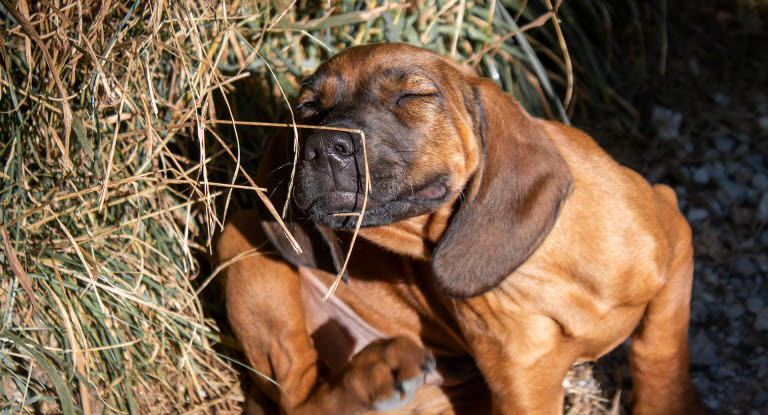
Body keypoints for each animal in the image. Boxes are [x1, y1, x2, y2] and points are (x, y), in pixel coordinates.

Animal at [214, 44, 704, 414]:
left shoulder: (674, 224)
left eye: (413, 96)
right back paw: (379, 370)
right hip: (240, 235)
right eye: (308, 109)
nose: (323, 147)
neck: (535, 270)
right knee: (299, 398)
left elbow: (661, 346)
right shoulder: (524, 395)